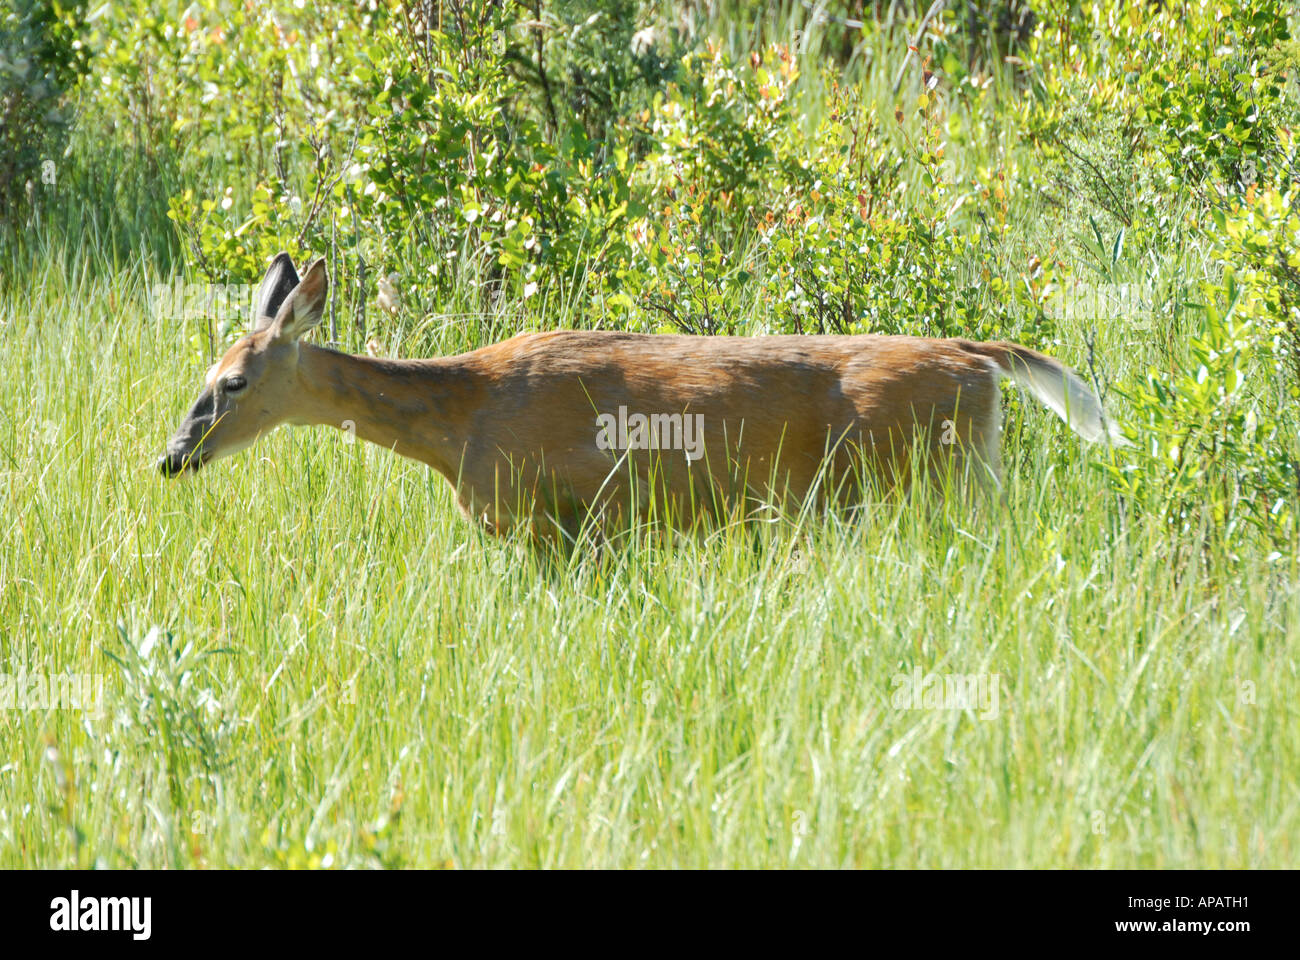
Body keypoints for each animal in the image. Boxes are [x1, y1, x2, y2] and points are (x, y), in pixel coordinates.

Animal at [159, 253, 1124, 548]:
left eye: (232, 382)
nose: (170, 456)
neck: (461, 419)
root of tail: (978, 356)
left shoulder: (565, 524)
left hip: (931, 479)